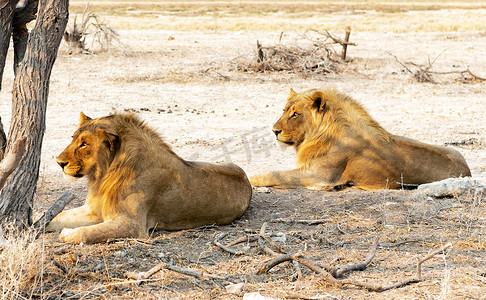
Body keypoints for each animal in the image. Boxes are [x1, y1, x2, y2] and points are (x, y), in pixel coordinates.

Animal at [46, 112, 252, 244]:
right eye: (73, 138)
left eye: (84, 144)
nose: (58, 162)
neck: (103, 175)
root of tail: (246, 178)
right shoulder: (95, 210)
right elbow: (59, 216)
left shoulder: (133, 225)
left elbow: (88, 233)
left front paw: (67, 234)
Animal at [251, 88, 470, 190]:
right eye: (284, 111)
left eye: (295, 114)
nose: (274, 131)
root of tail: (468, 170)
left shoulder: (319, 175)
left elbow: (274, 174)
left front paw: (252, 178)